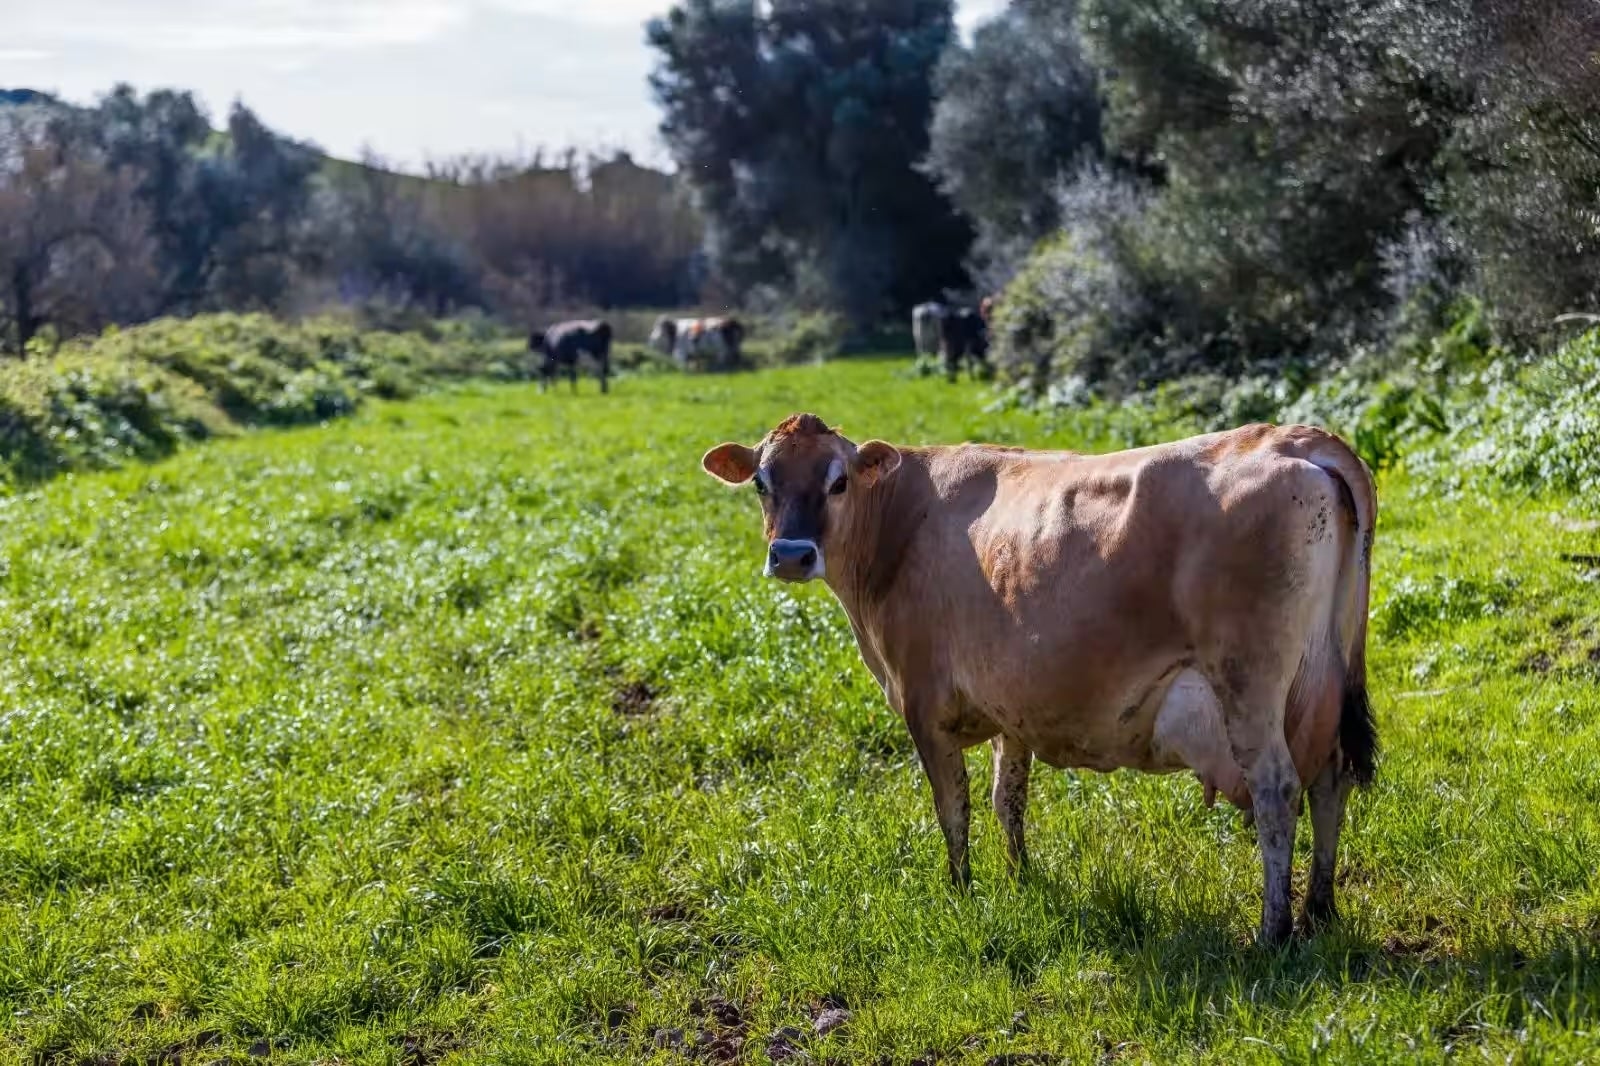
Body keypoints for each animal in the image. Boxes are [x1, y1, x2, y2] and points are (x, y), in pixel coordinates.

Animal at [701, 414, 1378, 945]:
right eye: (762, 482)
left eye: (837, 480)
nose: (791, 554)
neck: (901, 523)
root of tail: (1294, 439)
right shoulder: (1013, 705)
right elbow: (1009, 799)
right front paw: (1020, 877)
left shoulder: (924, 703)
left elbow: (954, 806)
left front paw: (961, 890)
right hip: (1325, 679)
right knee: (1331, 779)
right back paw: (1318, 909)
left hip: (1248, 685)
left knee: (1277, 790)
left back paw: (1273, 930)